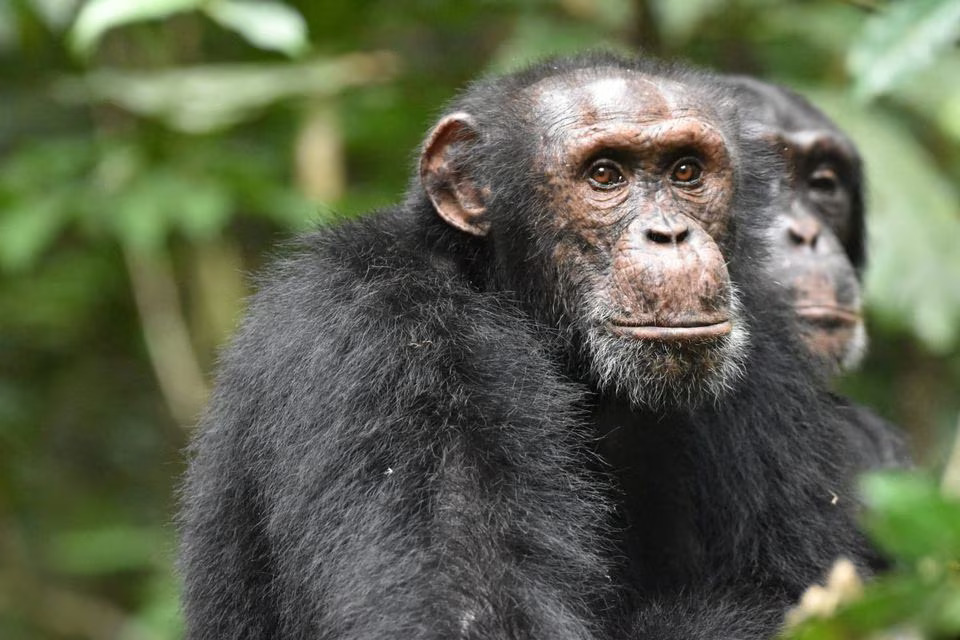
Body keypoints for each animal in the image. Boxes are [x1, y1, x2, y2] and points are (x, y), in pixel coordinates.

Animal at [178, 56, 876, 640]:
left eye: (686, 171)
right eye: (605, 175)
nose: (670, 233)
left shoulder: (768, 355)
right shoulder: (391, 343)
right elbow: (469, 614)